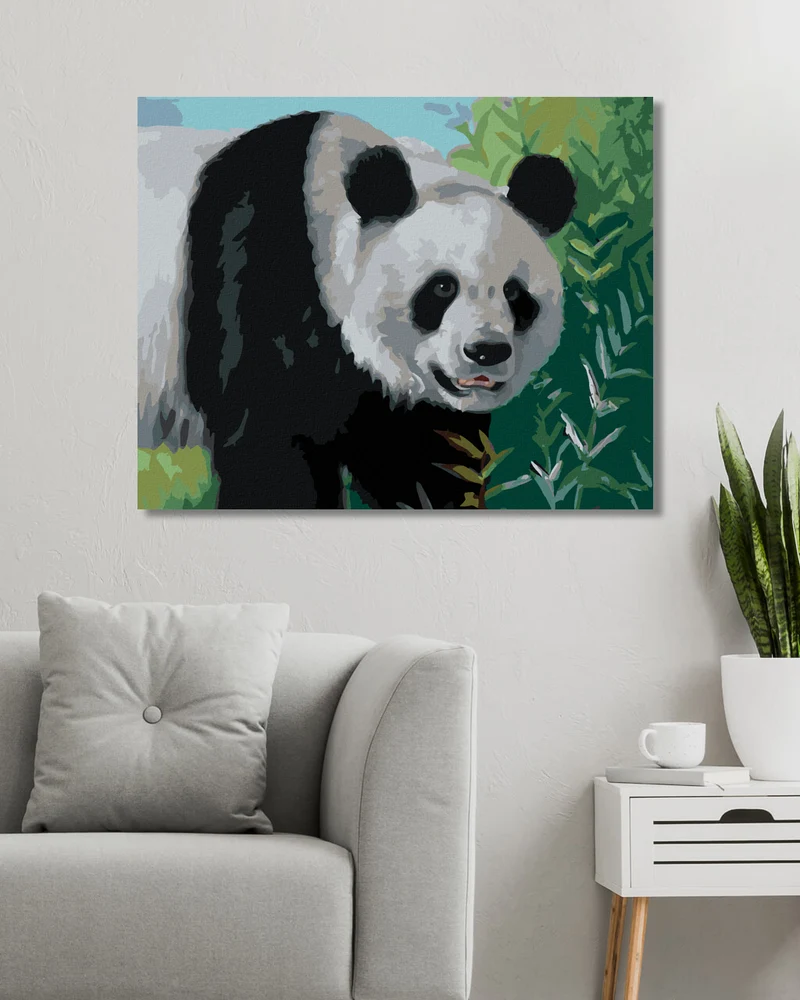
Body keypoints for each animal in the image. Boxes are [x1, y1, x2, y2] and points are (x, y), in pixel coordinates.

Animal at [183, 111, 576, 509]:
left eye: (514, 293)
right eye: (442, 287)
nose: (486, 351)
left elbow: (418, 464)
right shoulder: (253, 286)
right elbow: (267, 446)